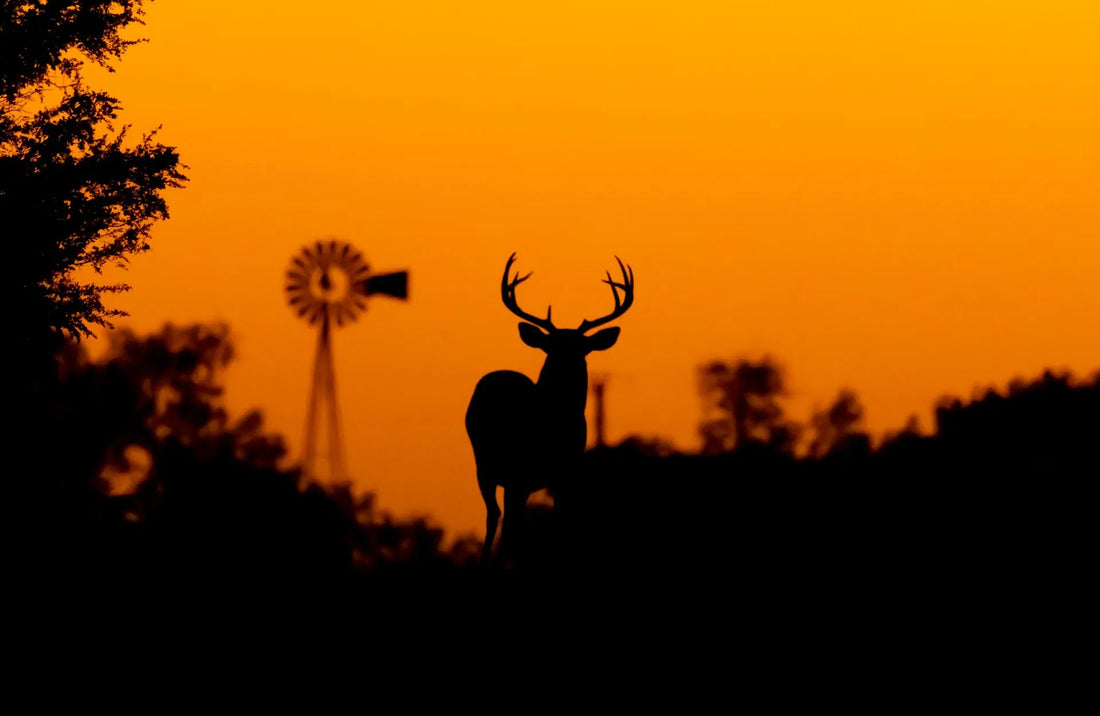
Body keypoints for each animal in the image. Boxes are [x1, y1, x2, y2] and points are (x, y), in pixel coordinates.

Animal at [465, 253, 634, 565]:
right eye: (551, 346)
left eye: (582, 347)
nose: (566, 365)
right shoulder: (518, 473)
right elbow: (513, 526)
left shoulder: (565, 473)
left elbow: (562, 519)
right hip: (485, 465)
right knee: (496, 516)